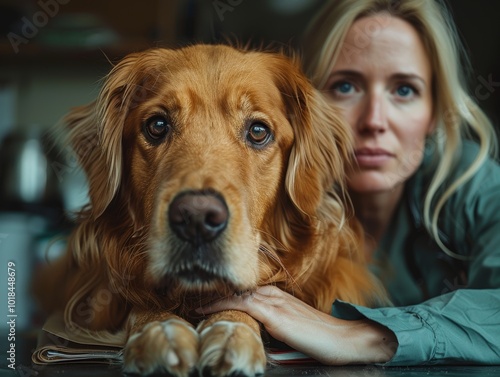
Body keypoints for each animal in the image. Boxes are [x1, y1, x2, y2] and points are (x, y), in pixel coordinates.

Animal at [35, 44, 386, 376]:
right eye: (157, 125)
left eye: (258, 131)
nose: (197, 218)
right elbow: (142, 305)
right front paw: (162, 331)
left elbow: (241, 302)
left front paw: (232, 332)